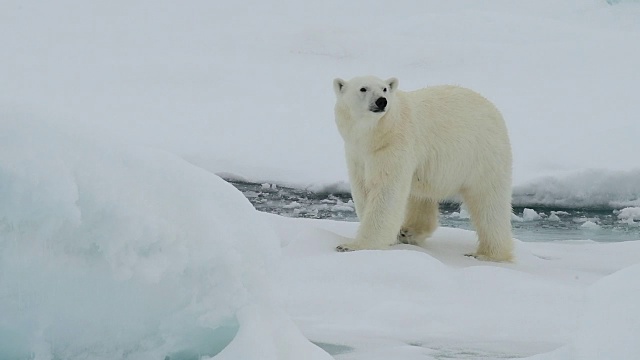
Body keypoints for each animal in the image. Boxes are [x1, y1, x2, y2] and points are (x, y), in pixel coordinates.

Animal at [332, 76, 512, 262]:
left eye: (384, 89)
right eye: (363, 88)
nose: (382, 101)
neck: (374, 135)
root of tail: (493, 109)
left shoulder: (395, 145)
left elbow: (386, 191)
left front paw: (353, 246)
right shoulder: (357, 153)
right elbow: (363, 189)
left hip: (483, 155)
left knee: (489, 202)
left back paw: (488, 254)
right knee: (421, 196)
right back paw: (408, 232)